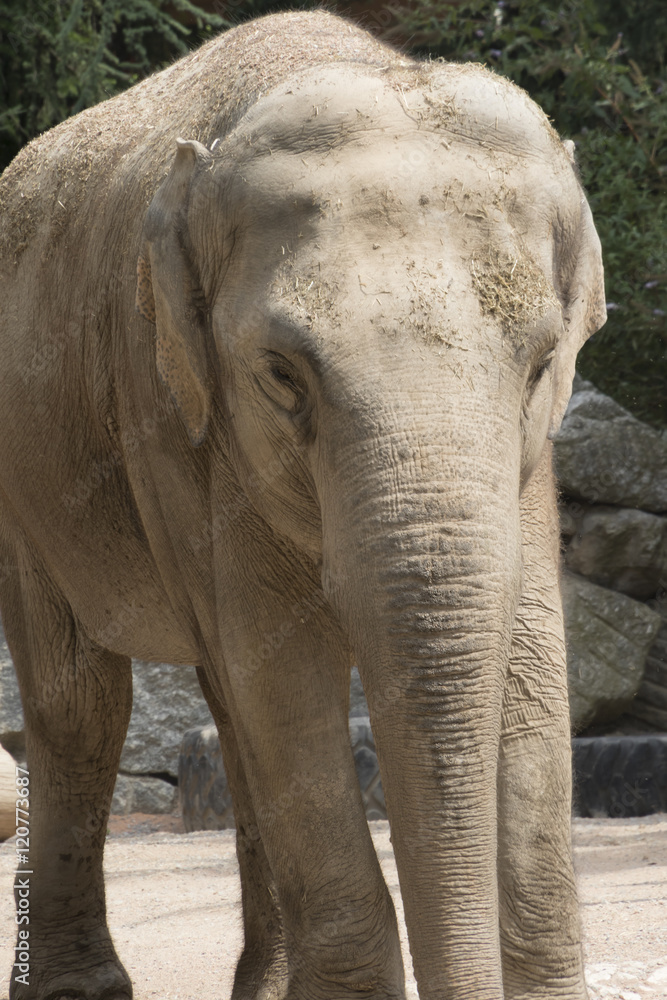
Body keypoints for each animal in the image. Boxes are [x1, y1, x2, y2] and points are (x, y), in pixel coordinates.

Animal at [0, 9, 606, 1000]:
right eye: (282, 375)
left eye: (539, 363)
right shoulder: (178, 414)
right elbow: (283, 670)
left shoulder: (527, 464)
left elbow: (528, 658)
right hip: (27, 484)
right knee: (84, 701)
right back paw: (78, 987)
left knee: (226, 711)